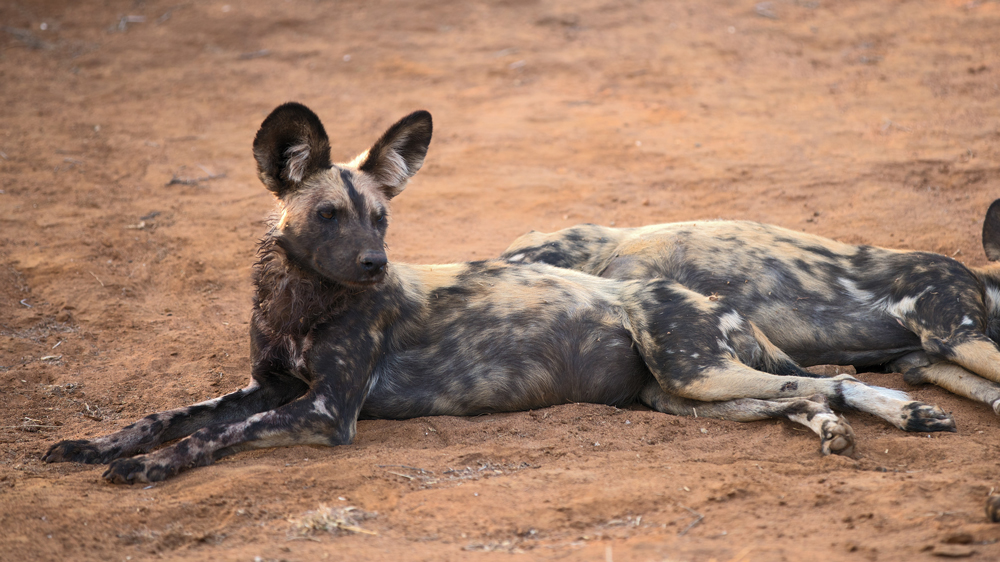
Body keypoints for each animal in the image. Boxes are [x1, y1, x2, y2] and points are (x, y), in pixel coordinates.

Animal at [39, 101, 948, 482]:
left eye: (382, 218)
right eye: (330, 216)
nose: (374, 266)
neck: (302, 304)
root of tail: (702, 295)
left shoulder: (322, 411)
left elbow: (211, 435)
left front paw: (147, 470)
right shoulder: (267, 386)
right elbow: (168, 415)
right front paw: (95, 447)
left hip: (696, 370)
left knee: (821, 379)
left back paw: (893, 414)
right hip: (683, 397)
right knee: (799, 395)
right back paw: (840, 429)